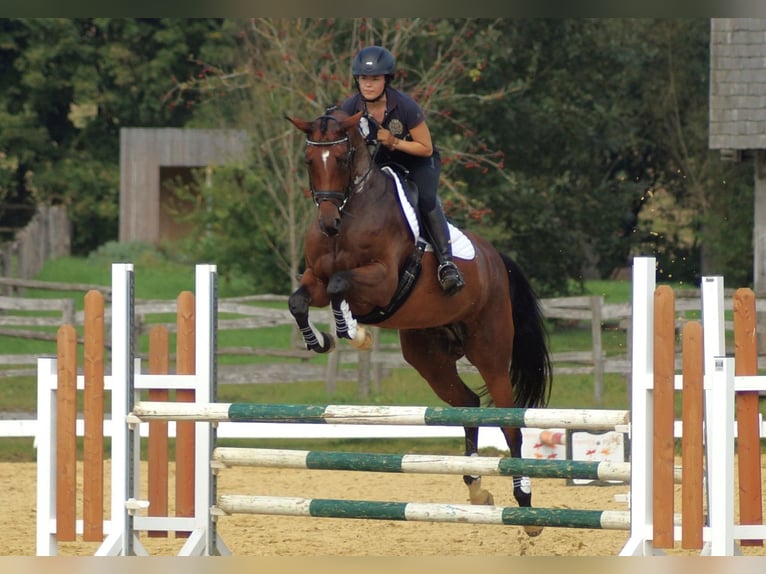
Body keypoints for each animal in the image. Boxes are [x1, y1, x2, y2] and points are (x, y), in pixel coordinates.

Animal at [284, 108, 556, 540]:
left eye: (341, 159)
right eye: (309, 161)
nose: (328, 224)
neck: (350, 213)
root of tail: (496, 260)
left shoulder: (381, 280)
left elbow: (343, 284)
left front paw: (355, 333)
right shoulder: (315, 280)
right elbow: (299, 301)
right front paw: (321, 340)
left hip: (490, 350)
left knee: (509, 422)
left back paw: (526, 504)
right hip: (429, 357)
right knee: (468, 406)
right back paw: (476, 488)